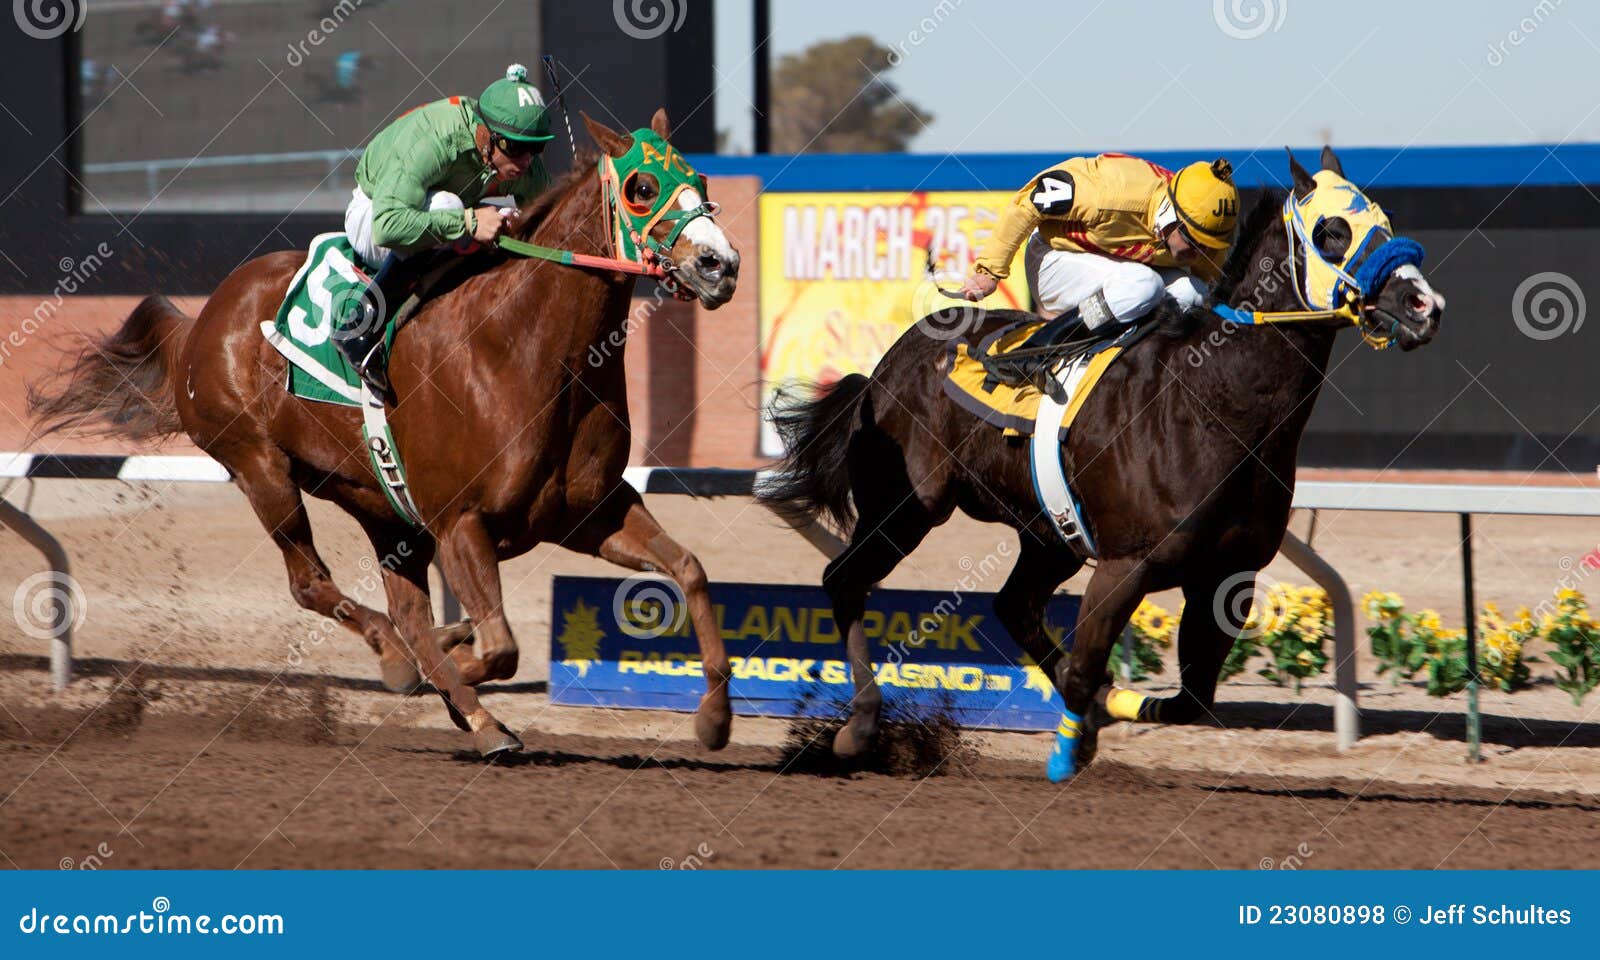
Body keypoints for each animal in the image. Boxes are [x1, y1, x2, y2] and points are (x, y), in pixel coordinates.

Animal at [29, 109, 742, 758]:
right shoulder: (461, 521)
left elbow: (690, 569)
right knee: (315, 585)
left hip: (378, 501)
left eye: (700, 177)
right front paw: (435, 679)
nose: (721, 264)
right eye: (642, 187)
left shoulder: (590, 511)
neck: (530, 349)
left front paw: (714, 718)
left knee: (404, 607)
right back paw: (412, 670)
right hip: (262, 469)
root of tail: (202, 320)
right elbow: (499, 648)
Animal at [758, 147, 1446, 779]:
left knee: (1013, 606)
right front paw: (1069, 748)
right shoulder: (1126, 564)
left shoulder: (1228, 577)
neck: (1212, 402)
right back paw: (858, 728)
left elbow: (1188, 698)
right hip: (907, 505)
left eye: (1384, 221)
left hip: (1047, 533)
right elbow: (1089, 664)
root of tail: (886, 364)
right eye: (1333, 231)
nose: (1425, 305)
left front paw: (1101, 714)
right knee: (844, 580)